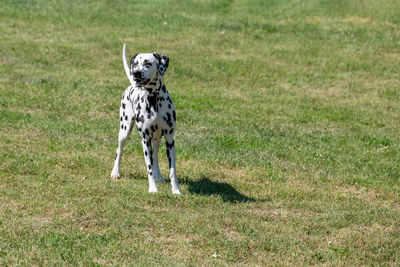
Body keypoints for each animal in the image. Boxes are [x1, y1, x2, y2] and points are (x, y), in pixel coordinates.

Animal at [110, 43, 180, 195]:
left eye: (148, 63)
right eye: (135, 63)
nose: (135, 73)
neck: (154, 100)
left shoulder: (170, 140)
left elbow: (172, 170)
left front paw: (176, 190)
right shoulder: (145, 140)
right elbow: (149, 168)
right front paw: (153, 188)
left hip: (157, 140)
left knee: (155, 157)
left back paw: (159, 176)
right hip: (124, 131)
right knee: (119, 151)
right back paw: (115, 172)